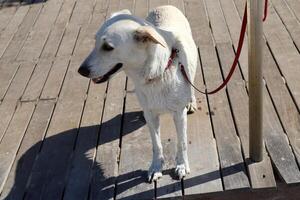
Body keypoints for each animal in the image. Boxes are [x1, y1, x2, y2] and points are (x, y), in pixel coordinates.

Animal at [78, 5, 198, 182]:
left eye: (108, 47)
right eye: (95, 41)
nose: (81, 71)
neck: (157, 73)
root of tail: (165, 6)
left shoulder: (179, 114)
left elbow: (181, 143)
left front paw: (182, 165)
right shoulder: (151, 116)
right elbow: (156, 145)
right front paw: (156, 167)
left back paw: (191, 101)